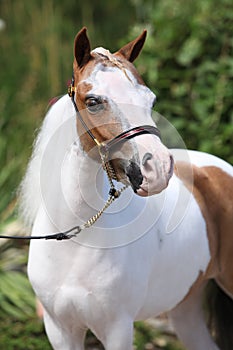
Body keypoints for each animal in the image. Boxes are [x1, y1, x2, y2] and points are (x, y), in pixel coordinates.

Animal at [20, 26, 233, 348]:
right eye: (93, 101)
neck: (76, 239)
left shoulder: (117, 328)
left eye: (151, 100)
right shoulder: (60, 329)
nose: (158, 168)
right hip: (185, 309)